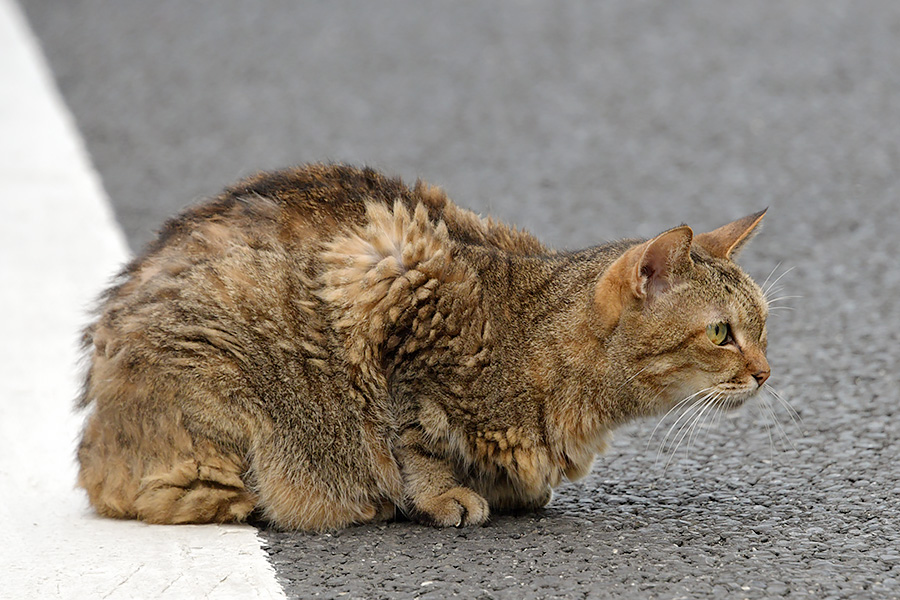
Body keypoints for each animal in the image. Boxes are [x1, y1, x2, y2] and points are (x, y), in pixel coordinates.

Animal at [75, 163, 768, 528]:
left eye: (762, 326)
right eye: (720, 333)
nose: (765, 373)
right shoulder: (394, 304)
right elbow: (414, 442)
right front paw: (443, 495)